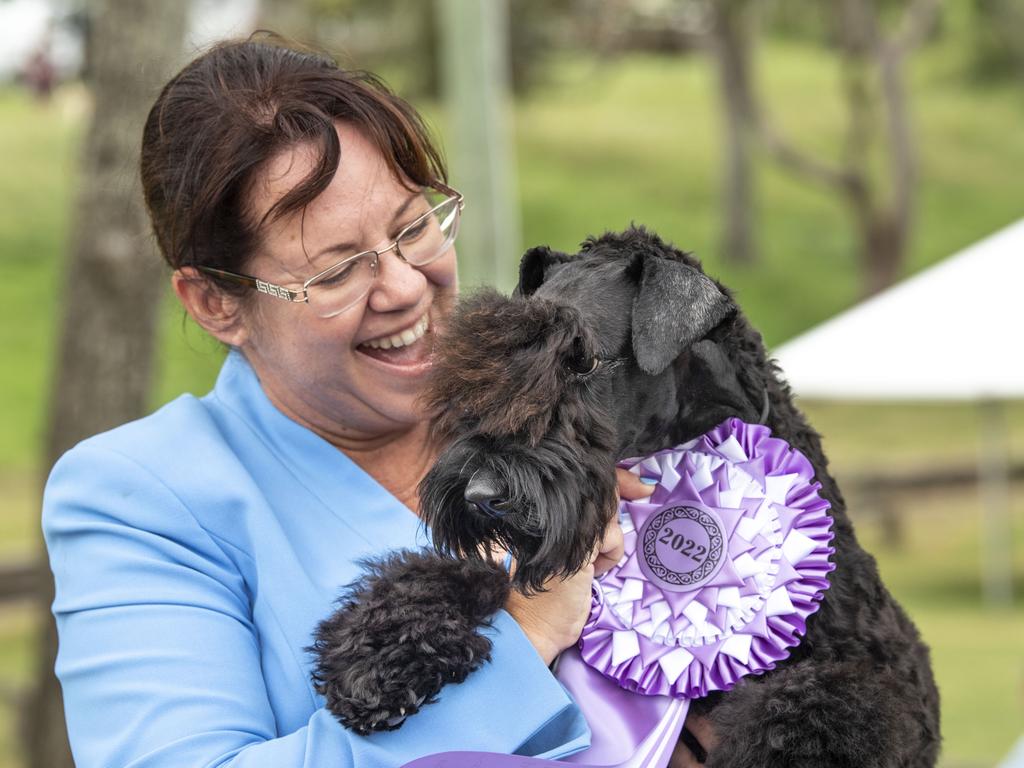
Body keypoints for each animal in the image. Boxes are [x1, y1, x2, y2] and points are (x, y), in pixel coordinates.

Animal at [309, 228, 937, 768]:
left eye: (583, 358)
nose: (480, 494)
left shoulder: (876, 688)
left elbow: (814, 712)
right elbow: (459, 575)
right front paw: (374, 658)